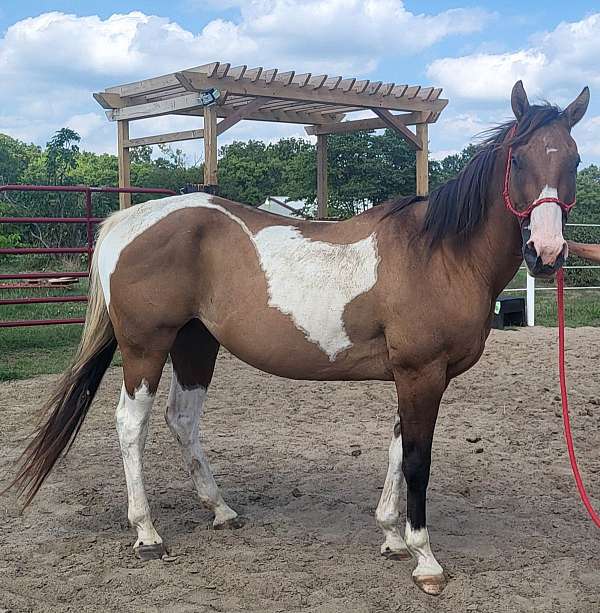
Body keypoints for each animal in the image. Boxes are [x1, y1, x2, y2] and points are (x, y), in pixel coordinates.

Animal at [8, 81, 592, 592]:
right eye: (518, 159)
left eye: (574, 160)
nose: (546, 252)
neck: (441, 253)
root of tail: (127, 221)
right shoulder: (422, 373)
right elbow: (417, 459)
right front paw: (424, 559)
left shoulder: (416, 376)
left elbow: (397, 448)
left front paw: (391, 537)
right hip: (146, 347)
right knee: (133, 425)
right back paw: (147, 533)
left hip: (195, 344)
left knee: (183, 419)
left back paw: (221, 509)